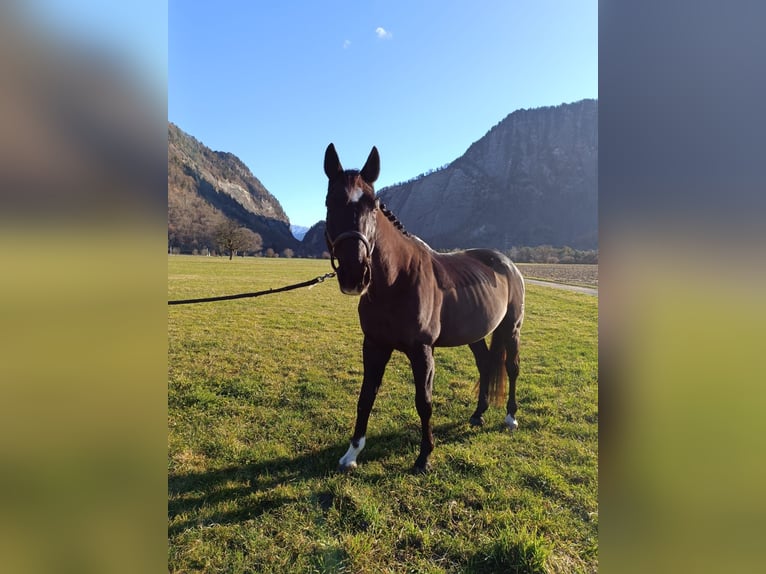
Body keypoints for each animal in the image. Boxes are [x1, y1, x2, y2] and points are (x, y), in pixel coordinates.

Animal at [323, 143, 525, 473]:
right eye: (330, 202)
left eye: (372, 205)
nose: (355, 274)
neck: (396, 281)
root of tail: (507, 263)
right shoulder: (374, 345)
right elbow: (366, 397)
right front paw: (352, 454)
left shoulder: (422, 351)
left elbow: (424, 402)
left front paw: (424, 457)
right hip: (474, 334)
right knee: (485, 364)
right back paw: (478, 414)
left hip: (512, 328)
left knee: (512, 368)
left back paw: (510, 417)